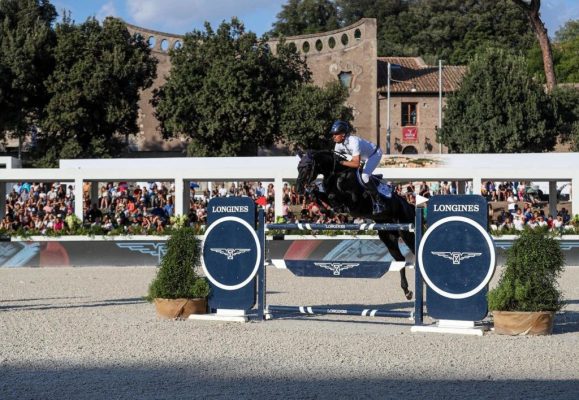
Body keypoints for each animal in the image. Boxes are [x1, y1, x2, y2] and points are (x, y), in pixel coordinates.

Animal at [294, 150, 416, 300]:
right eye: (298, 167)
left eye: (307, 167)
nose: (298, 189)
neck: (335, 175)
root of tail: (409, 205)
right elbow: (318, 195)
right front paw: (325, 210)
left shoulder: (354, 202)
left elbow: (333, 198)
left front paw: (332, 209)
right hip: (388, 237)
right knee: (400, 260)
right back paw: (407, 291)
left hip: (406, 233)